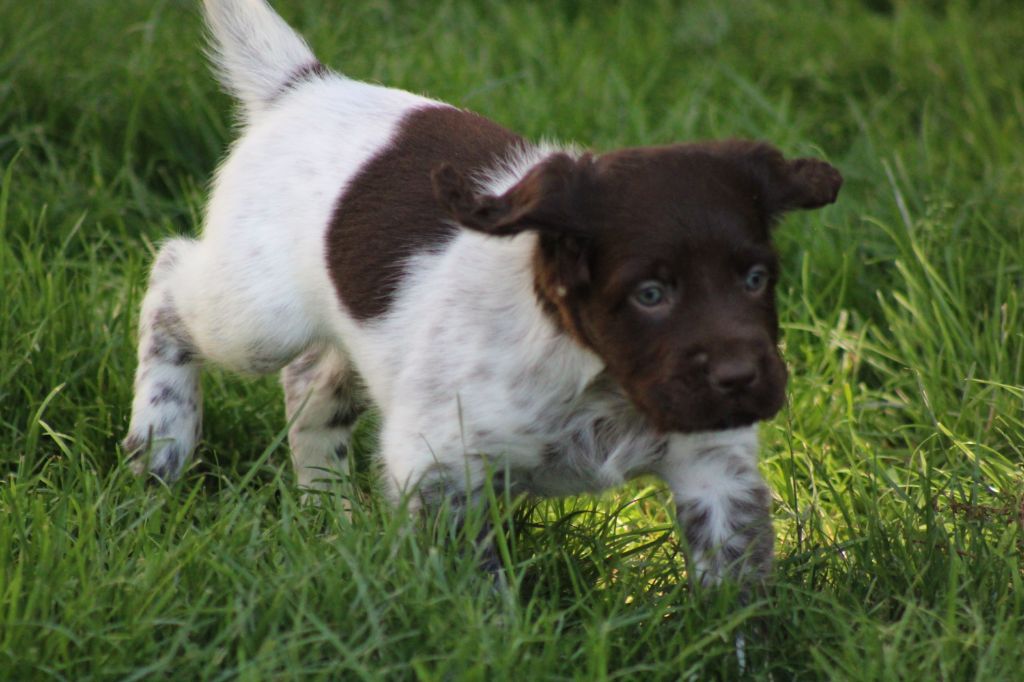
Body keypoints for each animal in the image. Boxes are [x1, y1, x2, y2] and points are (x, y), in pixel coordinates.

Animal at [123, 0, 839, 585]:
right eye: (651, 294)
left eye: (756, 280)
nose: (744, 380)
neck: (593, 374)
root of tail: (304, 85)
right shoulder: (439, 464)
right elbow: (477, 586)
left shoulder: (715, 468)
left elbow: (735, 598)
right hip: (257, 313)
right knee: (170, 277)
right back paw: (161, 440)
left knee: (311, 384)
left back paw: (329, 512)